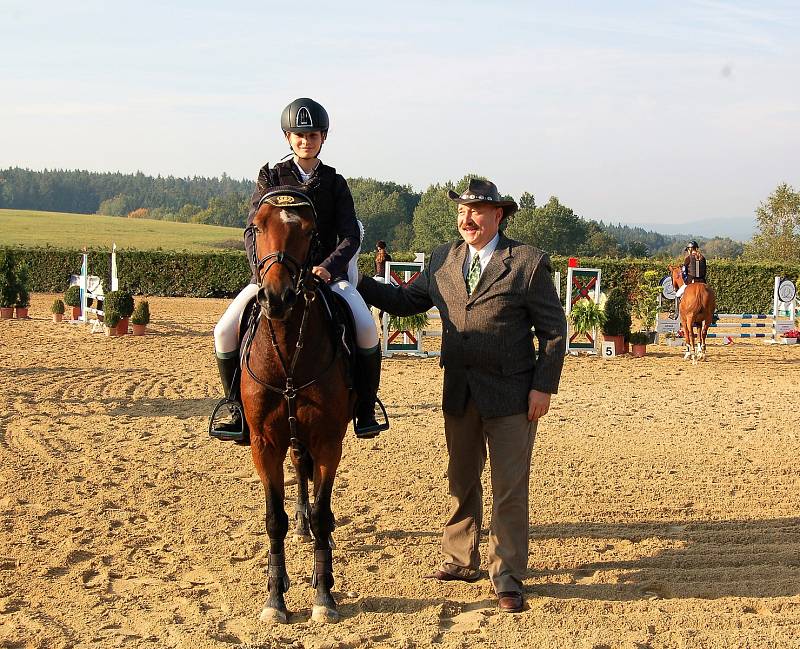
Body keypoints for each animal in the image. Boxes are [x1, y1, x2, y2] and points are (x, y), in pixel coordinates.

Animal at [242, 186, 354, 624]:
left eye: (309, 231)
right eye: (258, 226)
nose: (277, 297)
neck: (289, 348)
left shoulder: (327, 441)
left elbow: (323, 513)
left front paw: (323, 594)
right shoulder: (264, 443)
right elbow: (274, 520)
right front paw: (275, 598)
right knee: (298, 468)